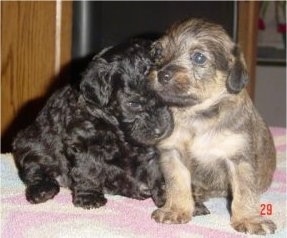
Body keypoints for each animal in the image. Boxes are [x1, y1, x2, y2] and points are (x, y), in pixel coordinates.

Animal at [11, 40, 173, 209]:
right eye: (133, 104)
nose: (161, 130)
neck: (117, 128)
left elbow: (159, 168)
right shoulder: (85, 141)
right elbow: (88, 168)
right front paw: (89, 197)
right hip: (30, 143)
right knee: (34, 168)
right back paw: (41, 190)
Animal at [148, 18, 276, 234]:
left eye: (199, 57)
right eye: (157, 53)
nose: (162, 74)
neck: (198, 116)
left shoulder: (238, 158)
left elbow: (244, 192)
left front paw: (249, 219)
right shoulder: (172, 154)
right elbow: (177, 184)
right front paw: (176, 209)